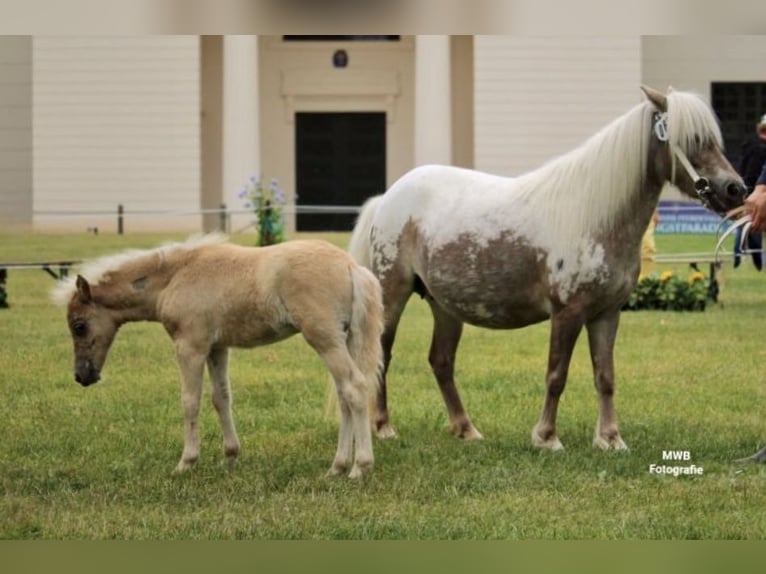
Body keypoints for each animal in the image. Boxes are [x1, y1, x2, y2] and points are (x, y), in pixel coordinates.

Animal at [52, 235, 383, 479]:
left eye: (79, 326)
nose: (83, 375)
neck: (175, 277)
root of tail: (352, 267)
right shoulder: (217, 348)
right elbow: (221, 398)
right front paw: (230, 457)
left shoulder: (190, 346)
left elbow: (190, 401)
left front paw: (186, 462)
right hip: (345, 338)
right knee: (344, 395)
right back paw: (337, 467)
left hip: (324, 339)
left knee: (354, 387)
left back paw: (360, 467)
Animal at [349, 85, 746, 450]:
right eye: (692, 140)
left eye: (713, 139)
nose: (735, 190)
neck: (596, 216)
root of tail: (389, 196)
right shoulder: (567, 313)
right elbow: (557, 374)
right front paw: (547, 438)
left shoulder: (607, 314)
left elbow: (606, 376)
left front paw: (610, 439)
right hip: (393, 295)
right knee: (382, 355)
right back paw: (383, 427)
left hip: (444, 305)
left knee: (441, 361)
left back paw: (466, 429)